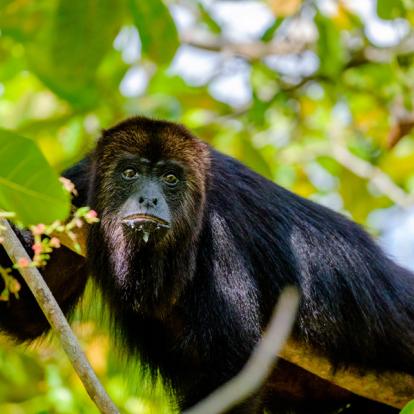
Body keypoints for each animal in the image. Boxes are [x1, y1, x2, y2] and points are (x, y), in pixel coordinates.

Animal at [0, 117, 414, 414]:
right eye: (130, 173)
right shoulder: (73, 190)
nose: (149, 198)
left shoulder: (219, 231)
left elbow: (233, 369)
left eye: (170, 178)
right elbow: (28, 313)